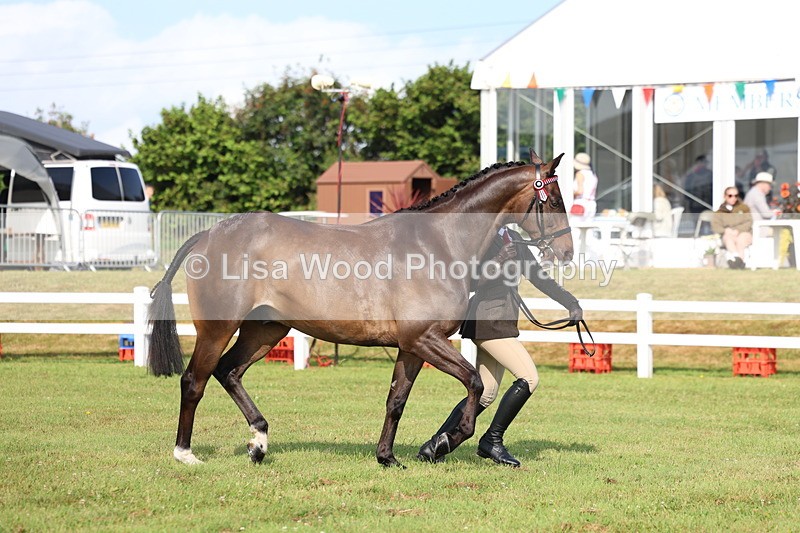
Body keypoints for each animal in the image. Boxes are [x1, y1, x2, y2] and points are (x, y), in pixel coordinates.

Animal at [147, 149, 573, 468]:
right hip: (217, 328)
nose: (567, 253)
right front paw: (446, 441)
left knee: (229, 371)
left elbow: (397, 400)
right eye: (553, 200)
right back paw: (185, 453)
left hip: (265, 329)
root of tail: (209, 233)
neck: (439, 243)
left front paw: (387, 457)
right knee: (195, 380)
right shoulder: (425, 338)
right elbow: (474, 382)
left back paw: (259, 442)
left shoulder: (412, 346)